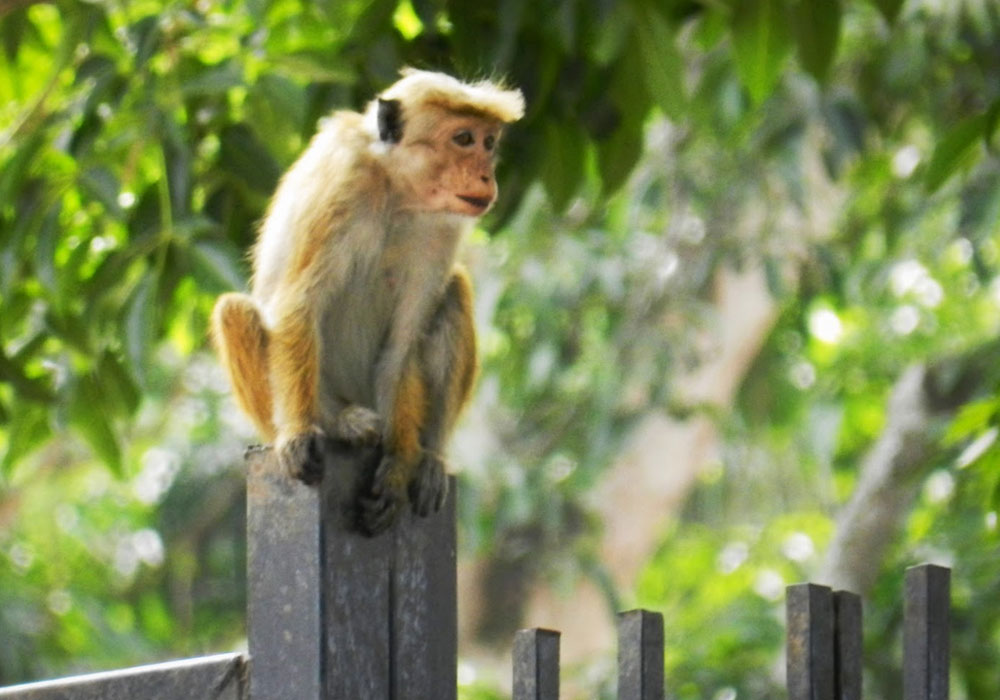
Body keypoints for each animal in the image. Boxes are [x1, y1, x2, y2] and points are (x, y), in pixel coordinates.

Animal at [211, 69, 524, 535]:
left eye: (489, 143)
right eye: (464, 138)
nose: (487, 176)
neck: (396, 188)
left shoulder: (441, 230)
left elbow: (403, 344)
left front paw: (398, 464)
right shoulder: (342, 184)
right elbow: (299, 305)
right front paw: (299, 435)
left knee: (452, 293)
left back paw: (429, 457)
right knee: (234, 311)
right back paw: (337, 424)